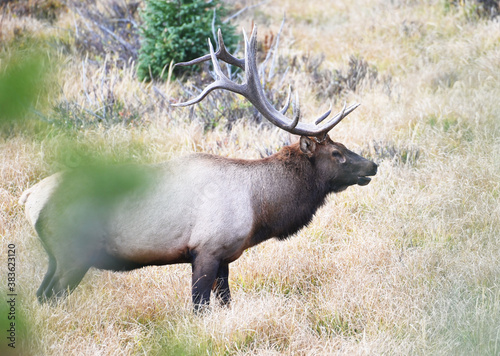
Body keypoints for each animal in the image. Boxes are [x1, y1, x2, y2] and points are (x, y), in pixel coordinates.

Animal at [21, 27, 376, 312]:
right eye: (337, 153)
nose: (372, 164)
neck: (258, 208)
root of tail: (29, 197)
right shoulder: (206, 250)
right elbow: (199, 308)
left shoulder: (225, 259)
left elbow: (226, 302)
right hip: (73, 255)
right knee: (50, 299)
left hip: (55, 258)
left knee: (38, 297)